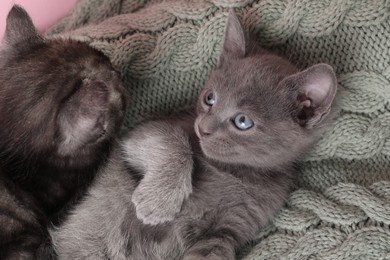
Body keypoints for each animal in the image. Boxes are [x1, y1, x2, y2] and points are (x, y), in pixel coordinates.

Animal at [51, 10, 338, 260]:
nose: (203, 127)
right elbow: (172, 142)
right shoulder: (135, 137)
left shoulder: (227, 230)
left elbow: (214, 250)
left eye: (243, 121)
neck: (234, 171)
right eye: (210, 98)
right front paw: (159, 202)